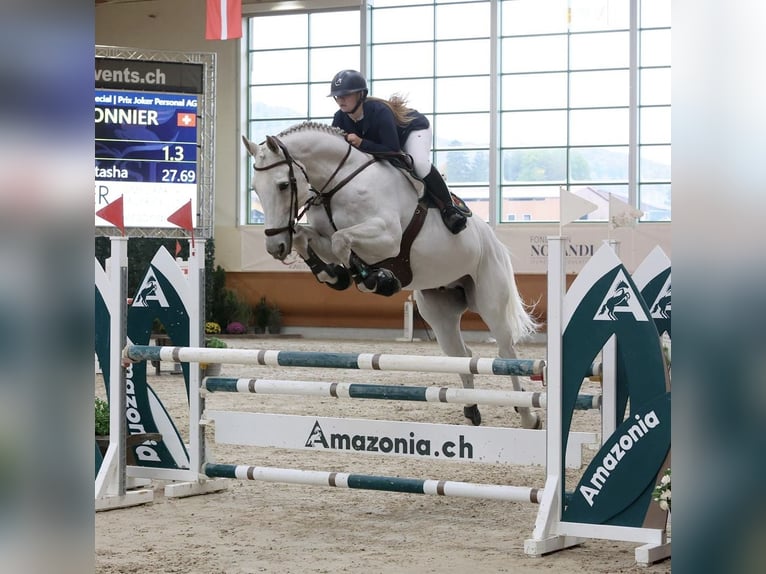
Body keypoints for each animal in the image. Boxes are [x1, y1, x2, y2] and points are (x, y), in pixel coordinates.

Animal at [242, 121, 540, 429]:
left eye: (283, 185)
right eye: (255, 189)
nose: (275, 247)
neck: (335, 185)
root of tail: (493, 240)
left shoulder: (387, 237)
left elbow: (340, 239)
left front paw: (375, 279)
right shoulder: (324, 237)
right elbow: (309, 237)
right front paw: (336, 276)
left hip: (490, 302)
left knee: (506, 353)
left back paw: (528, 416)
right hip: (440, 311)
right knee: (462, 356)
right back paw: (471, 409)